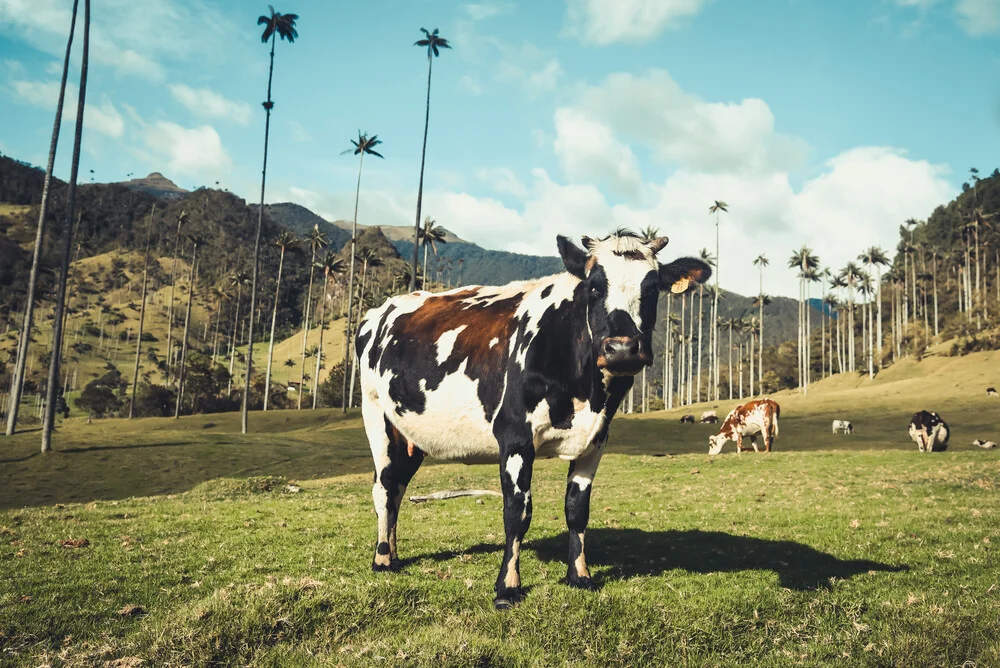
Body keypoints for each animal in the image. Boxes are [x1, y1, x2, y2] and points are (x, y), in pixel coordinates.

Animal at [354, 231, 712, 612]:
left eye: (652, 288)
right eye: (594, 287)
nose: (622, 349)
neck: (586, 391)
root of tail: (380, 311)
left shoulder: (596, 440)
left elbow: (577, 510)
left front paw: (579, 576)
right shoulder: (514, 436)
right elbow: (517, 512)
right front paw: (507, 587)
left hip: (410, 436)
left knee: (398, 487)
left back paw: (393, 555)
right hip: (376, 415)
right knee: (384, 486)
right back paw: (382, 558)